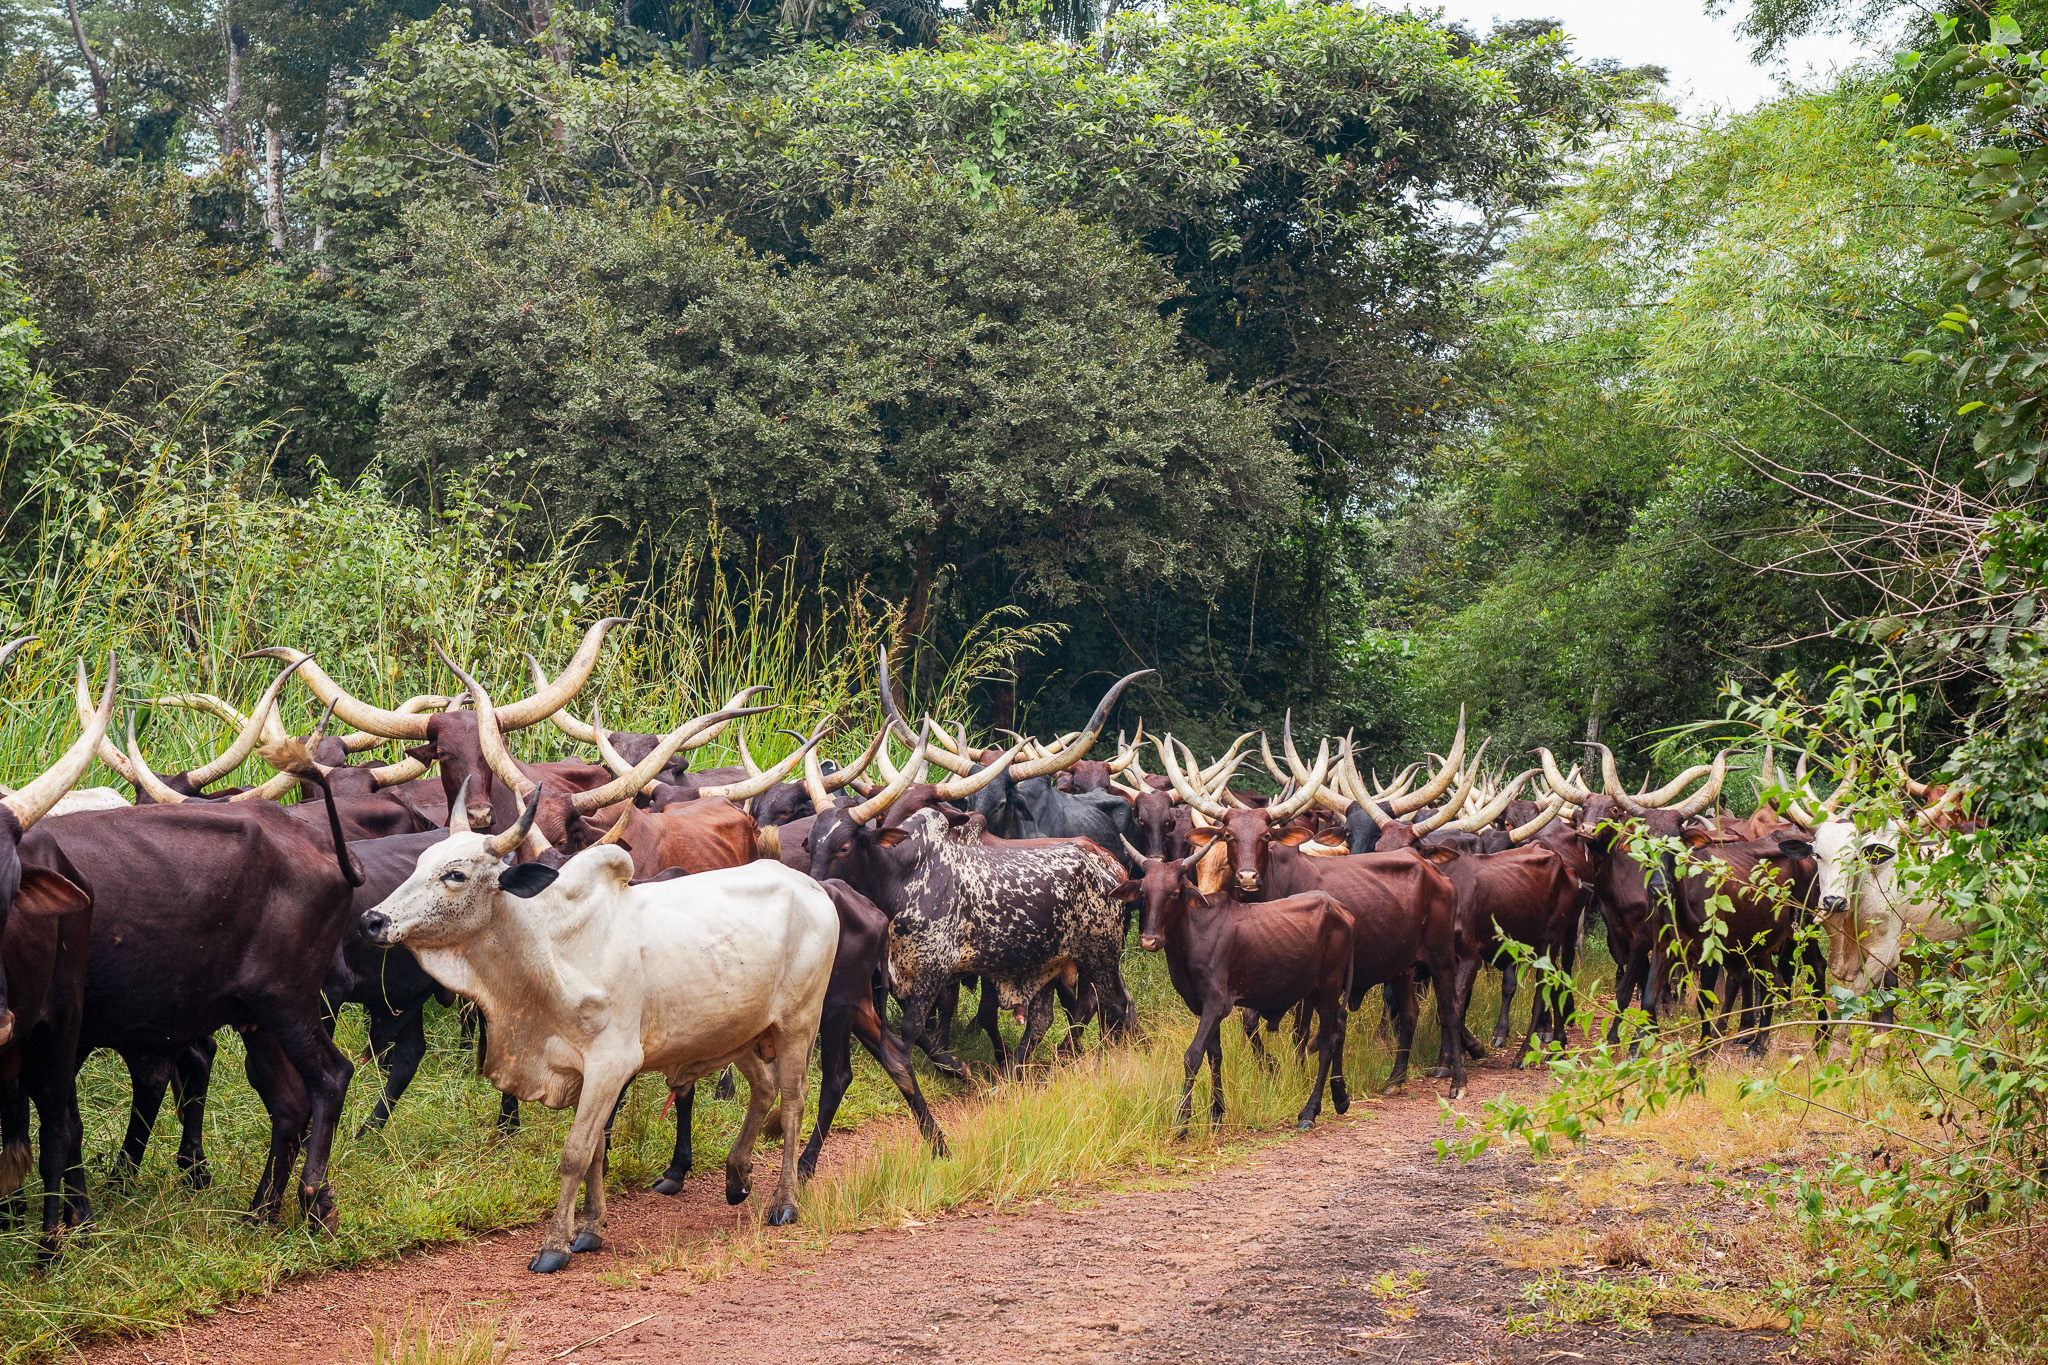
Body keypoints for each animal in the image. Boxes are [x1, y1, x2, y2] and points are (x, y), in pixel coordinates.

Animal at [359, 794, 839, 1271]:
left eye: (455, 874)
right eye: (420, 862)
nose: (372, 920)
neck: (552, 952)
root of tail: (810, 886)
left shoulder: (610, 1066)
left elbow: (576, 1153)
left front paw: (554, 1245)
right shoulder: (579, 1070)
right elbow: (592, 1151)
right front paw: (589, 1229)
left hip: (797, 1023)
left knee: (793, 1102)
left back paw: (784, 1202)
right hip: (740, 1031)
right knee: (764, 1088)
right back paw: (737, 1177)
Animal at [1127, 850, 1353, 1133]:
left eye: (1175, 893)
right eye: (1144, 892)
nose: (1149, 940)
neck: (1194, 937)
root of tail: (1341, 909)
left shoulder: (1217, 1004)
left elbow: (1193, 1056)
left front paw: (1182, 1120)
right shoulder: (1202, 1007)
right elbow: (1214, 1056)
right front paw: (1216, 1113)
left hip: (1329, 987)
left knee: (1326, 1043)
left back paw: (1309, 1112)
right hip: (1315, 990)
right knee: (1338, 1030)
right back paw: (1341, 1097)